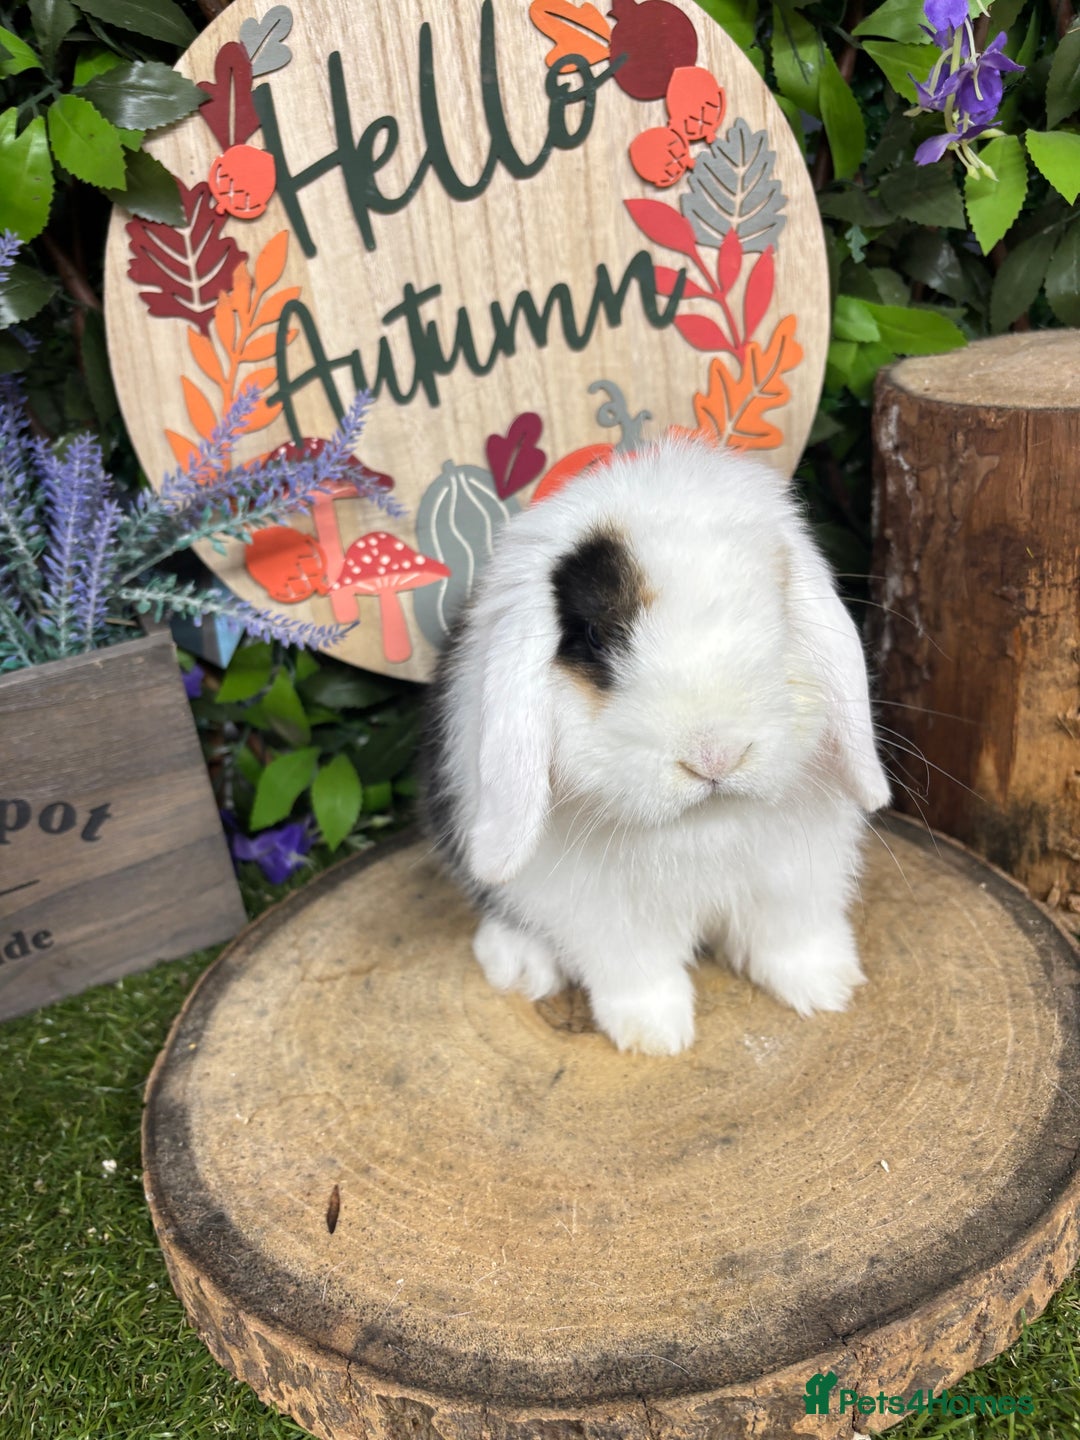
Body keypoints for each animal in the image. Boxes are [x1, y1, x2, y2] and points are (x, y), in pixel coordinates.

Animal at [418, 435, 890, 1056]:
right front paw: (654, 1037)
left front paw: (827, 987)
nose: (715, 756)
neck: (703, 827)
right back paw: (519, 965)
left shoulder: (795, 876)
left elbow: (791, 937)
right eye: (597, 637)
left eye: (779, 609)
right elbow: (637, 972)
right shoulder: (605, 916)